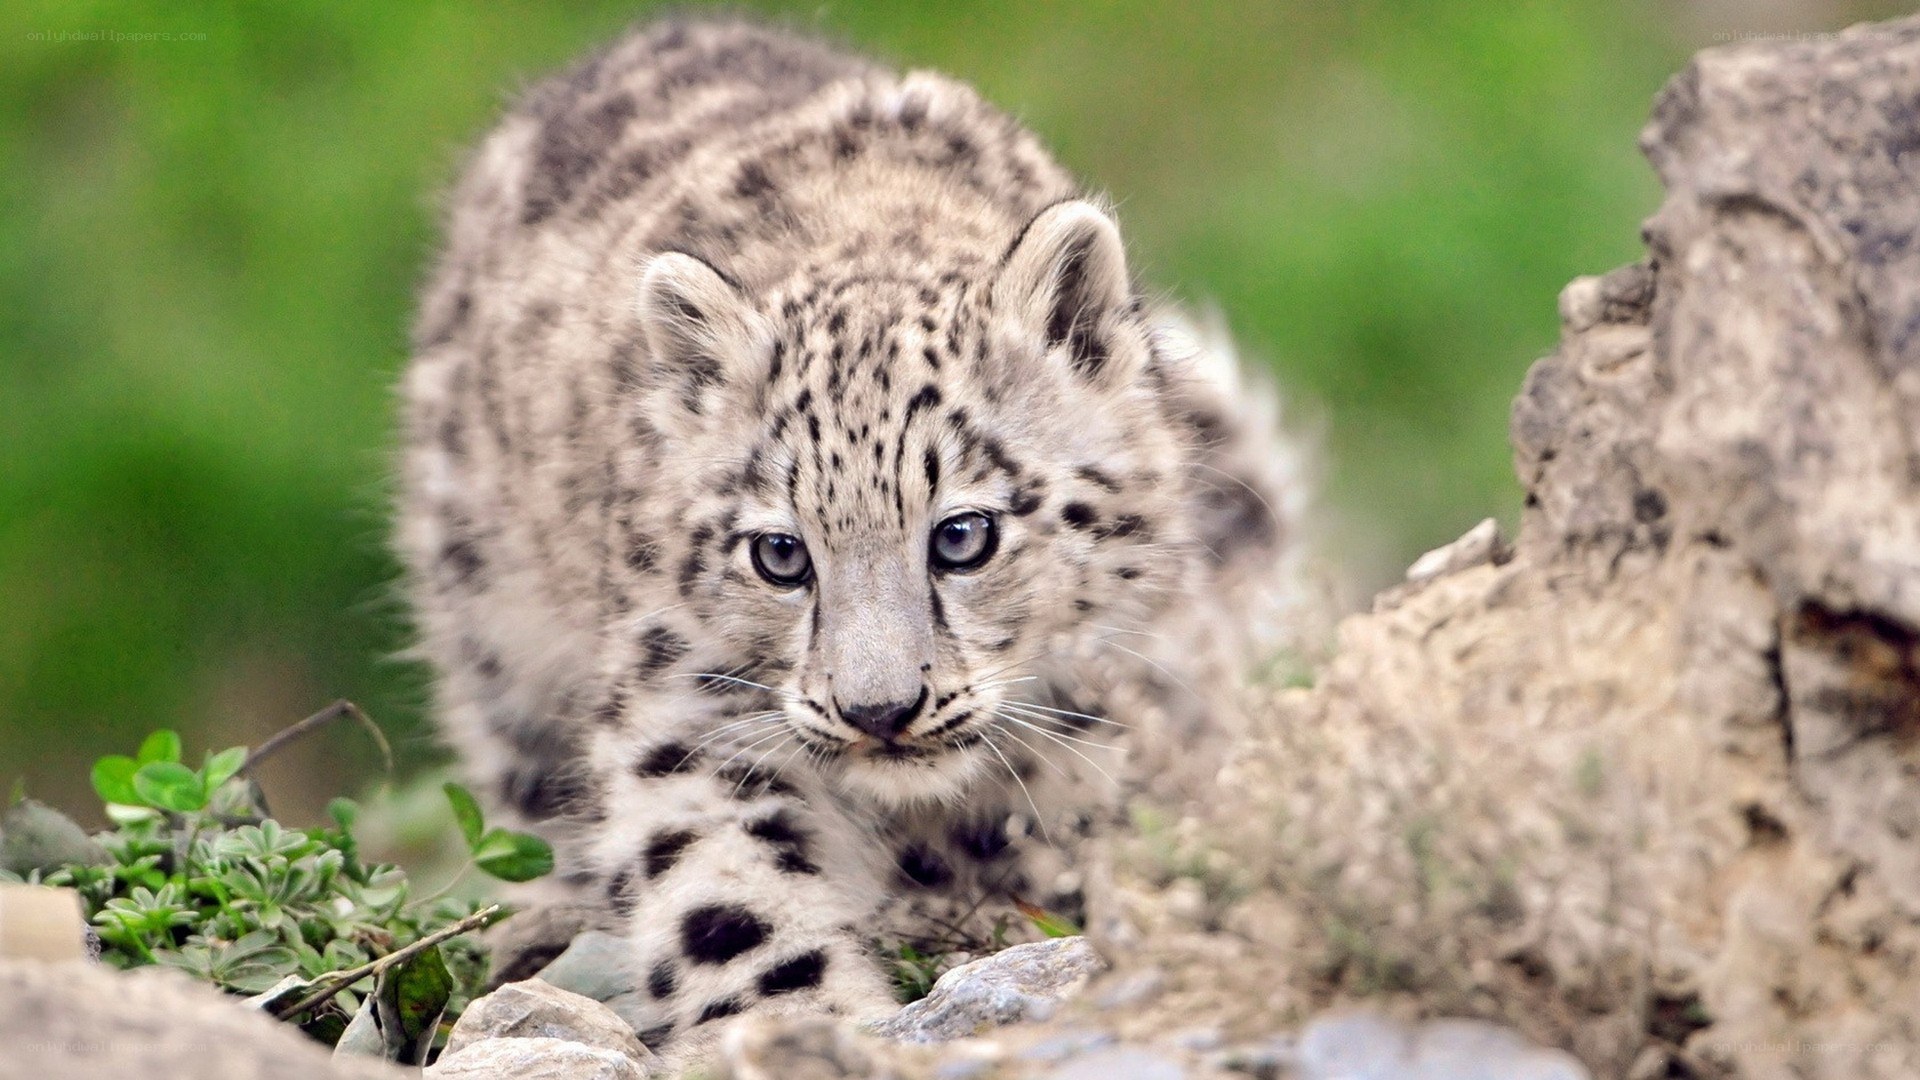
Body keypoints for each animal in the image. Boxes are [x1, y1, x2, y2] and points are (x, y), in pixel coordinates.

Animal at [396, 14, 1303, 1070]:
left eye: (964, 534)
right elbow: (725, 888)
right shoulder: (683, 700)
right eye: (780, 555)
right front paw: (804, 1021)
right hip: (493, 627)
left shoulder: (1114, 683)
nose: (879, 710)